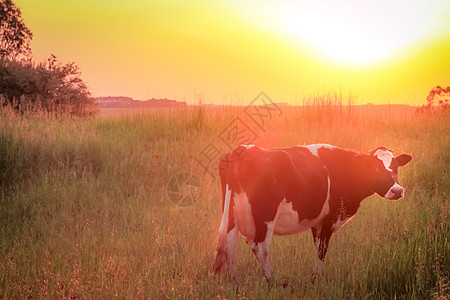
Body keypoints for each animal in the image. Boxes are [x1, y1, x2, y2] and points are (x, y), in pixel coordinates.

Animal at [213, 145, 414, 284]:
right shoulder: (329, 218)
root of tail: (242, 150)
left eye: (396, 167)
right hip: (265, 216)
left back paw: (232, 282)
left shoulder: (317, 222)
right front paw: (316, 279)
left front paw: (317, 277)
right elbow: (322, 249)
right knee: (260, 247)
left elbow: (318, 247)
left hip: (231, 214)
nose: (397, 190)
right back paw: (272, 282)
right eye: (375, 168)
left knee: (228, 244)